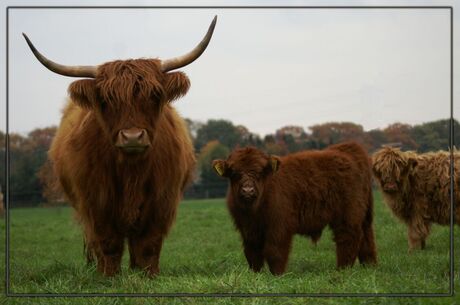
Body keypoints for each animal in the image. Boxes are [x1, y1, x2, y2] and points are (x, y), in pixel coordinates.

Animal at [24, 17, 218, 276]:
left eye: (155, 95)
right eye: (106, 100)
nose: (133, 137)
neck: (131, 172)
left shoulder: (161, 202)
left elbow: (147, 245)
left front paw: (148, 276)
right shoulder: (96, 203)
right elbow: (108, 244)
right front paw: (109, 276)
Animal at [213, 141, 378, 274]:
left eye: (260, 172)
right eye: (234, 173)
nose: (248, 190)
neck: (253, 211)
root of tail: (347, 148)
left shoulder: (279, 227)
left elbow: (275, 251)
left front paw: (277, 275)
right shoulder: (247, 229)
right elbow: (252, 253)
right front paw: (256, 275)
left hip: (348, 214)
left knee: (348, 237)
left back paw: (343, 270)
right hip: (363, 215)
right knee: (366, 237)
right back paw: (369, 267)